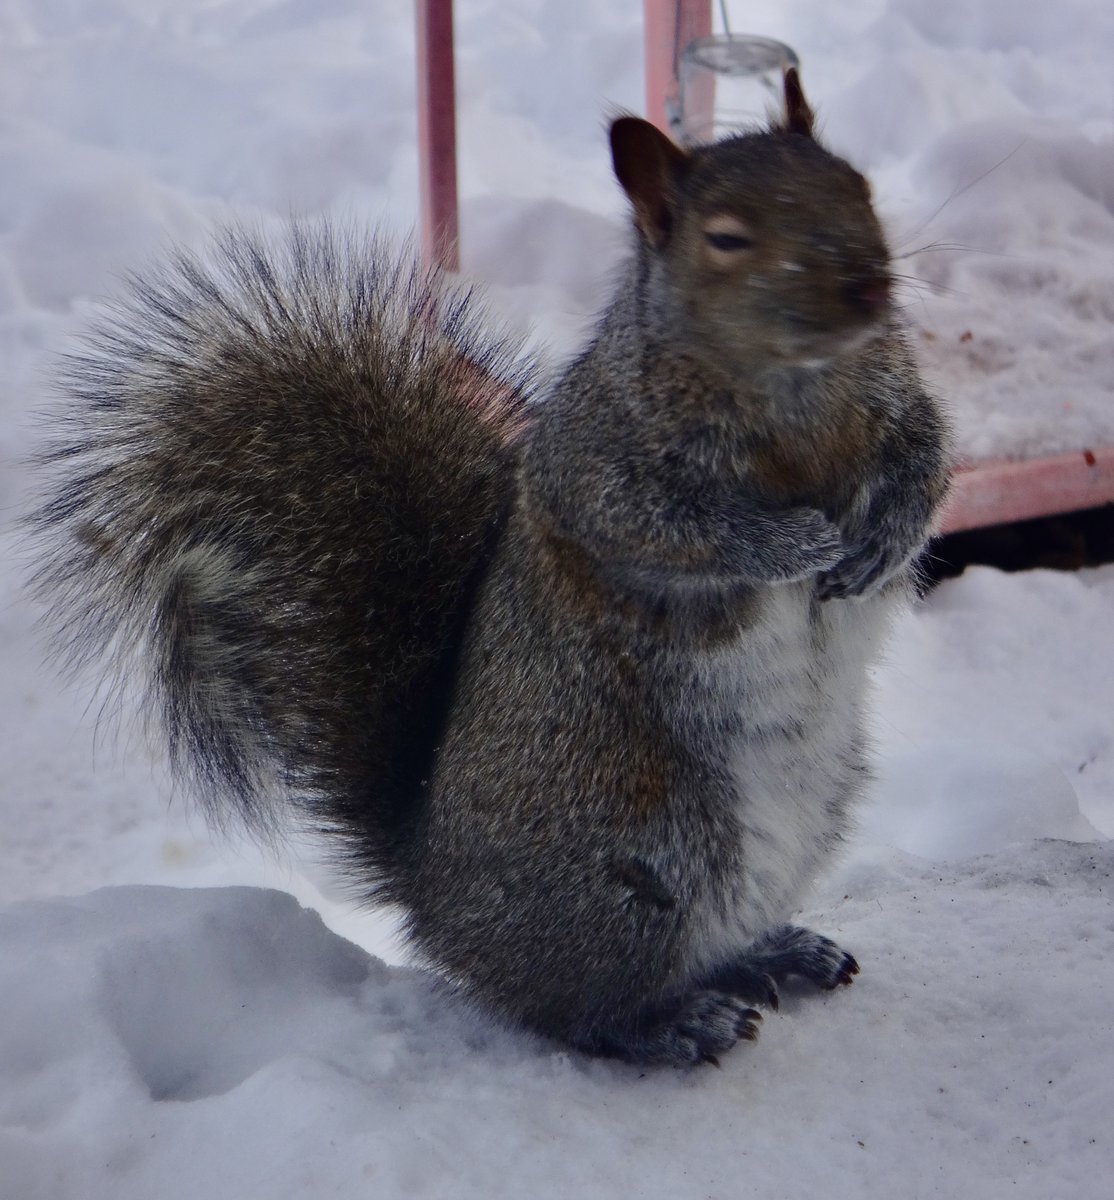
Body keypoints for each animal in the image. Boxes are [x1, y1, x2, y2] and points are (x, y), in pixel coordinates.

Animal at [31, 70, 950, 1067]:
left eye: (856, 186)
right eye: (727, 239)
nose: (869, 288)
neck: (796, 392)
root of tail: (433, 895)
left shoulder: (900, 399)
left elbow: (929, 464)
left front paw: (884, 537)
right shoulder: (598, 463)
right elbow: (667, 528)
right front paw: (790, 545)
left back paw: (775, 951)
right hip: (632, 859)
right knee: (580, 1009)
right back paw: (675, 1020)